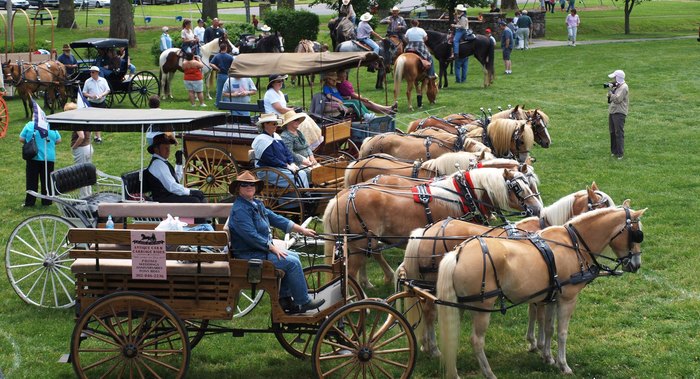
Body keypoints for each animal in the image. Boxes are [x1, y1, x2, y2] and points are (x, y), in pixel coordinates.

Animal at [322, 168, 540, 290]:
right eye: (517, 188)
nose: (537, 208)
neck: (465, 195)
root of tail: (340, 197)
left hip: (365, 241)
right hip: (359, 242)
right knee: (350, 272)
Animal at [400, 184, 612, 360]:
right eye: (604, 206)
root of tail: (427, 231)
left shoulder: (539, 285)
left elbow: (533, 312)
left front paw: (533, 342)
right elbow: (540, 316)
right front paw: (540, 344)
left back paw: (426, 345)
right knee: (429, 312)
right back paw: (434, 348)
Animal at [438, 205, 644, 379]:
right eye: (637, 234)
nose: (636, 264)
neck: (575, 244)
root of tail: (459, 252)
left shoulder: (552, 298)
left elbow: (548, 327)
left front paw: (548, 357)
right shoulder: (568, 299)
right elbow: (562, 332)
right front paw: (563, 364)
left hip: (460, 305)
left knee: (452, 335)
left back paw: (453, 373)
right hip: (483, 308)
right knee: (476, 341)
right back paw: (489, 373)